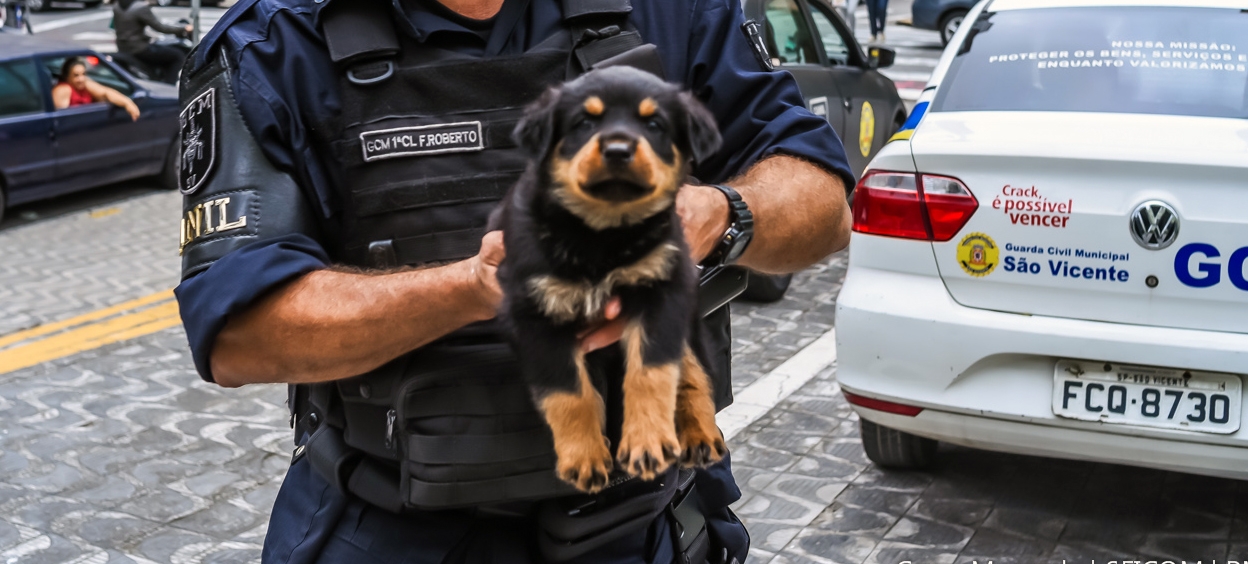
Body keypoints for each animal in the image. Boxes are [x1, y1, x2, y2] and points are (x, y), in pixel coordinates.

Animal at [496, 66, 728, 494]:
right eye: (584, 122)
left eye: (654, 124)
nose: (618, 150)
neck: (601, 237)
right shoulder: (533, 313)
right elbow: (568, 392)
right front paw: (584, 457)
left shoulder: (662, 292)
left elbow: (652, 373)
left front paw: (649, 443)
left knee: (693, 371)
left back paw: (699, 435)